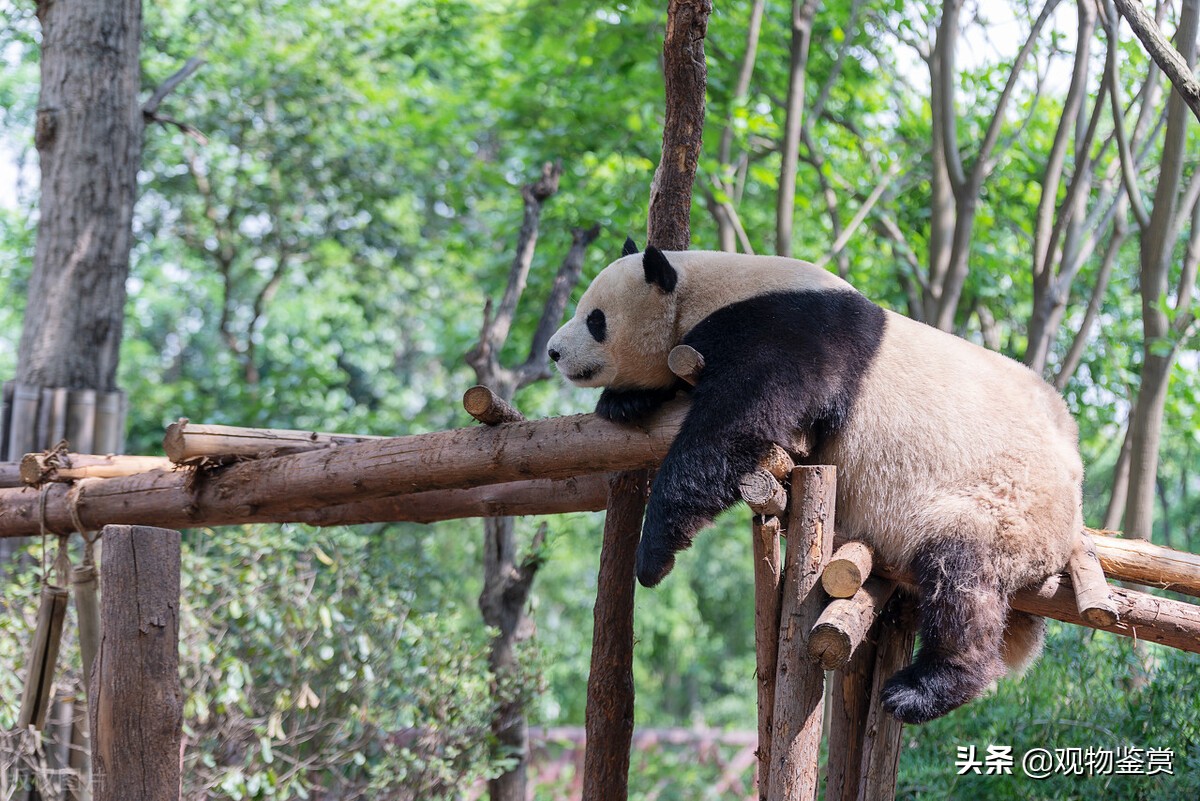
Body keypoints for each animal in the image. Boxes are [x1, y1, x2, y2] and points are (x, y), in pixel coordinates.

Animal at [549, 241, 1084, 724]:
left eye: (595, 319)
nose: (553, 351)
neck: (706, 292)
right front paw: (624, 401)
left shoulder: (794, 334)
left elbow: (737, 424)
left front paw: (653, 556)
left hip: (1003, 505)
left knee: (962, 580)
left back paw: (924, 689)